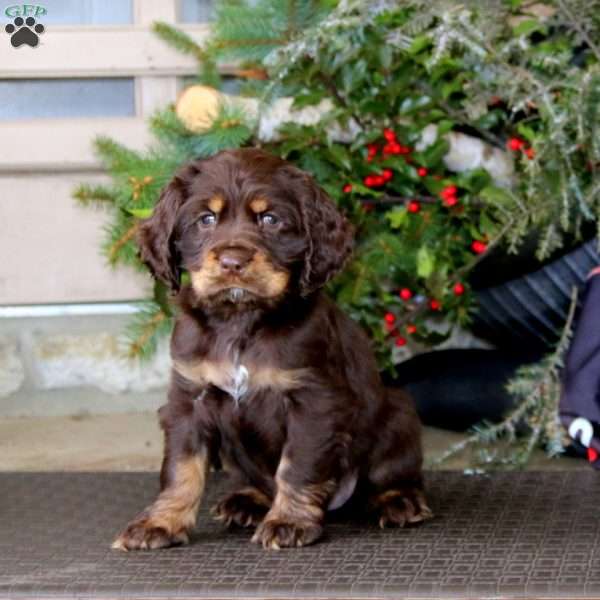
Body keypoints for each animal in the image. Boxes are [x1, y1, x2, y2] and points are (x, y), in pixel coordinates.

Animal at [112, 148, 432, 552]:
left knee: (394, 475)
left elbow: (297, 466)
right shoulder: (188, 398)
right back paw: (246, 501)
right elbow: (180, 468)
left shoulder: (314, 399)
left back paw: (399, 501)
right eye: (206, 219)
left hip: (398, 413)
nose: (232, 261)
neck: (240, 319)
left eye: (270, 219)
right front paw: (159, 523)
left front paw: (288, 522)